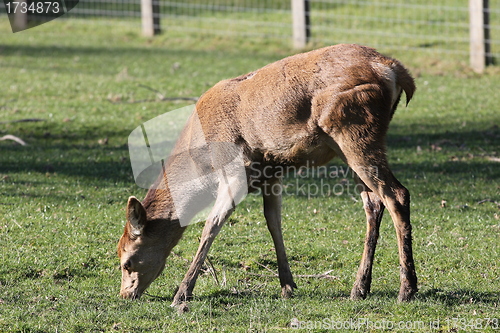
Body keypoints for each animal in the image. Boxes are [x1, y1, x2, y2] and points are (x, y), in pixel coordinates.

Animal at [117, 42, 418, 308]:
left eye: (126, 261)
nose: (125, 295)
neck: (203, 164)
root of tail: (394, 70)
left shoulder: (235, 170)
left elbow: (210, 226)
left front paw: (181, 294)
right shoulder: (271, 174)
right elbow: (274, 222)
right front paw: (287, 286)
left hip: (354, 129)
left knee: (397, 194)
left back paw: (407, 290)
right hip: (348, 145)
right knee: (373, 203)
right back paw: (359, 289)